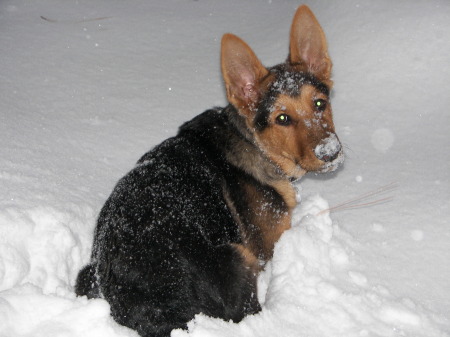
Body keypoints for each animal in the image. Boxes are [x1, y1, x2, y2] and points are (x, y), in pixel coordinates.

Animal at [75, 5, 342, 336]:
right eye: (282, 119)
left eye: (319, 103)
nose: (331, 152)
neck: (254, 145)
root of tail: (156, 309)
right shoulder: (268, 247)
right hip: (236, 257)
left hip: (87, 273)